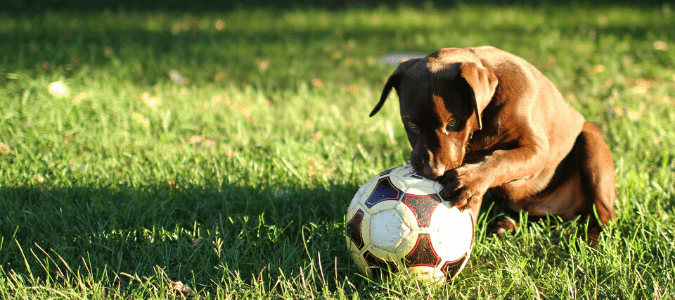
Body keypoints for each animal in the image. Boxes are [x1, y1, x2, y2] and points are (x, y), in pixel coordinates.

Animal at [370, 47, 616, 244]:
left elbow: (504, 160)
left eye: (453, 122)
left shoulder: (537, 151)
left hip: (590, 141)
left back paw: (590, 239)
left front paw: (470, 179)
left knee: (606, 215)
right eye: (411, 123)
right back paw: (505, 226)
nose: (433, 171)